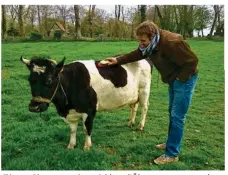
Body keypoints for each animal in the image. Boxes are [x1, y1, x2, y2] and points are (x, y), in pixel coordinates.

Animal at [21, 56, 152, 150]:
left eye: (49, 80)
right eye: (30, 80)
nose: (34, 107)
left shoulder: (90, 110)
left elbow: (87, 128)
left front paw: (87, 146)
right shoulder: (72, 113)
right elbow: (72, 130)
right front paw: (71, 145)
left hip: (144, 91)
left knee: (144, 108)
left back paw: (140, 126)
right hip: (133, 95)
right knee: (133, 106)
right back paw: (130, 122)